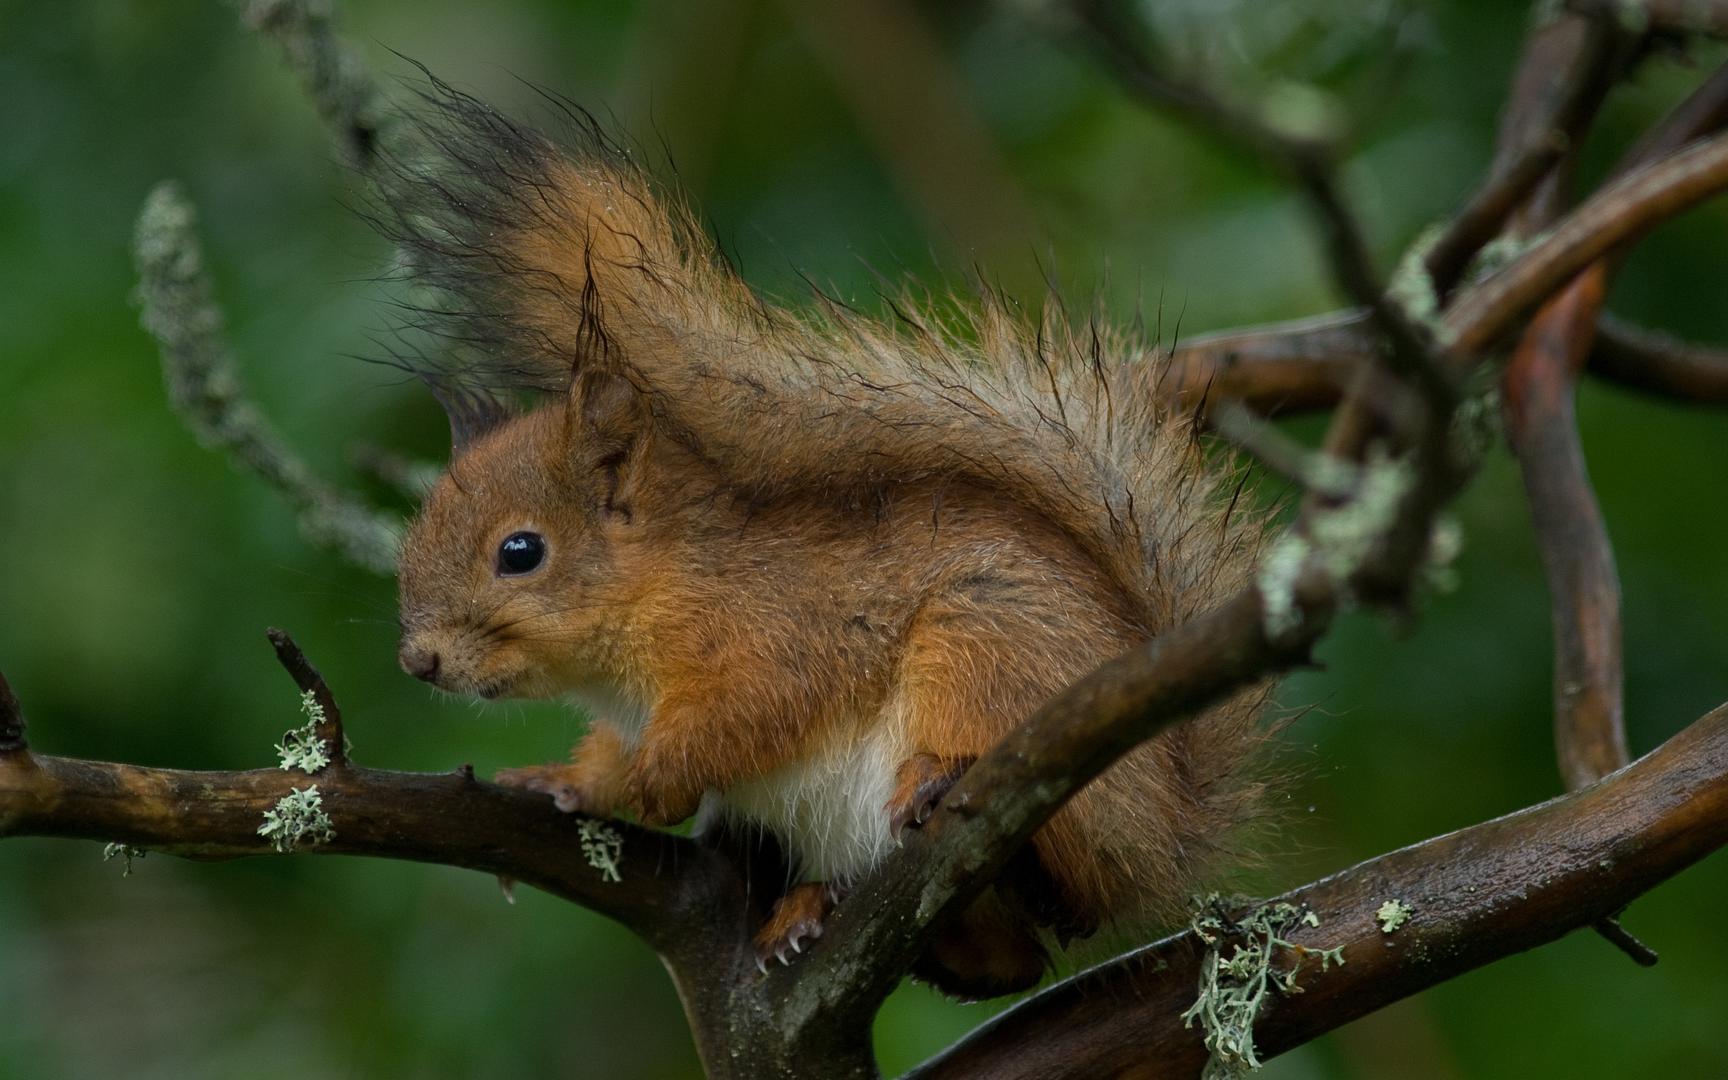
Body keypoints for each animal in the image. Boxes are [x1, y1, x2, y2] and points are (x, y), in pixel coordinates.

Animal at [386, 79, 1272, 998]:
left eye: (520, 552)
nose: (419, 660)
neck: (658, 587)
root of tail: (1166, 833)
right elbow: (608, 753)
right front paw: (567, 779)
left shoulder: (782, 630)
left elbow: (754, 710)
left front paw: (656, 781)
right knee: (1012, 960)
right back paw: (810, 914)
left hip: (990, 652)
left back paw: (940, 782)